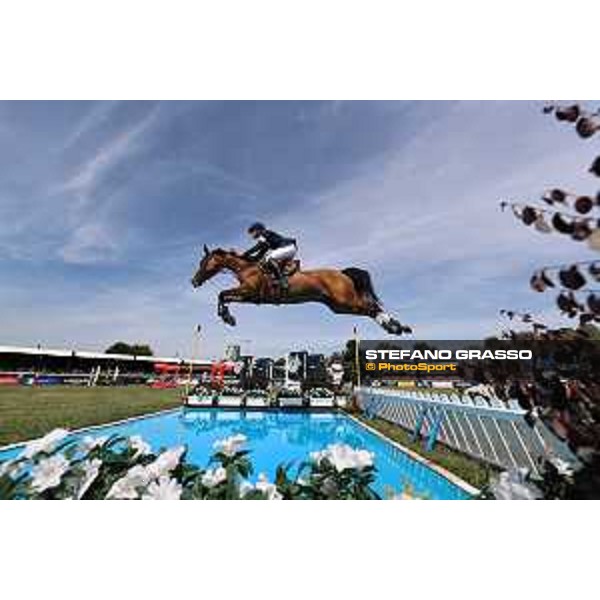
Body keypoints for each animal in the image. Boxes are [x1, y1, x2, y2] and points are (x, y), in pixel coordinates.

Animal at [190, 245, 410, 336]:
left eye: (204, 263)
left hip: (345, 301)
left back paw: (397, 327)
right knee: (368, 310)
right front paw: (228, 317)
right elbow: (223, 296)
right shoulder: (251, 297)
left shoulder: (249, 292)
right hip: (339, 307)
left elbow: (222, 294)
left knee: (371, 308)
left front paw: (228, 318)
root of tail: (342, 273)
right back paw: (395, 327)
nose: (193, 281)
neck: (247, 268)